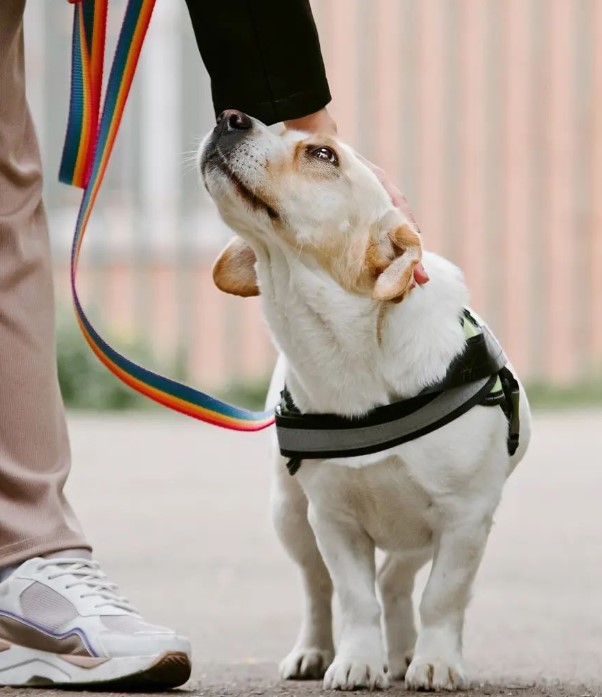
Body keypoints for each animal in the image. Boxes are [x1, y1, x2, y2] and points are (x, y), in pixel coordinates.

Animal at [198, 110, 528, 692]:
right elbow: (353, 598)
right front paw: (356, 660)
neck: (351, 357)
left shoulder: (465, 519)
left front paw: (436, 661)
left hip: (416, 535)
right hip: (291, 515)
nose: (228, 116)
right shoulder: (333, 519)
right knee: (318, 589)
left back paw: (407, 653)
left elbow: (442, 597)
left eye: (322, 154)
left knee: (396, 581)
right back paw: (316, 651)